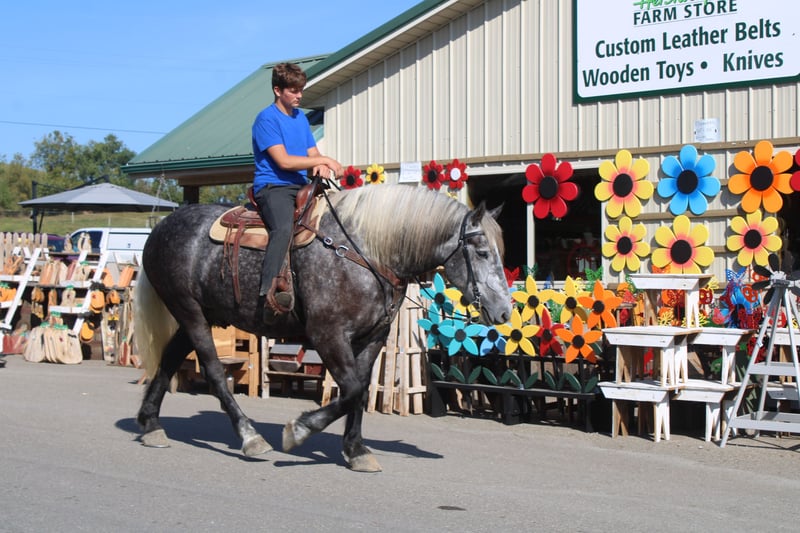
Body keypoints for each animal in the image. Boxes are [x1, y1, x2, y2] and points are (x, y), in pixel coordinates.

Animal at [134, 183, 512, 472]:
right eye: (481, 252)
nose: (505, 311)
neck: (366, 252)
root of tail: (160, 228)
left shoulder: (373, 338)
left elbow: (360, 391)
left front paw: (356, 450)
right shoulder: (327, 335)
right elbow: (353, 390)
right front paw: (300, 430)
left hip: (199, 315)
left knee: (168, 361)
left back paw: (151, 425)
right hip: (191, 313)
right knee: (213, 371)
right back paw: (249, 436)